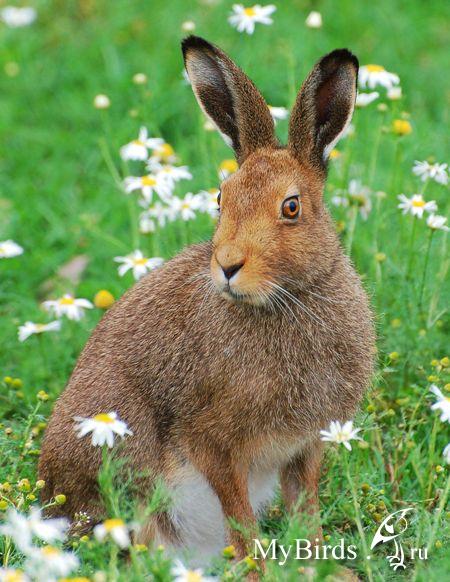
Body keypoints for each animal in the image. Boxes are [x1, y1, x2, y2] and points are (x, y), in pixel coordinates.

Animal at [39, 36, 375, 567]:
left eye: (291, 207)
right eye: (221, 199)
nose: (228, 265)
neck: (287, 299)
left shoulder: (307, 446)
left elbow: (306, 511)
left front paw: (317, 567)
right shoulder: (212, 442)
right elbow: (241, 521)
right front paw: (262, 571)